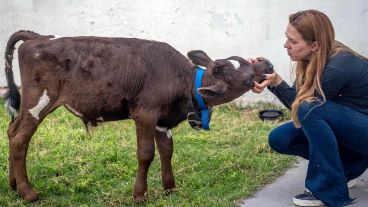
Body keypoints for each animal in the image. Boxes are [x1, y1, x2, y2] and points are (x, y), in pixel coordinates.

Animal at [2, 29, 274, 203]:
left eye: (241, 59)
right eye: (247, 80)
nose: (268, 64)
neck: (183, 81)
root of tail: (38, 37)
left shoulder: (162, 120)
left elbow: (167, 149)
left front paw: (170, 188)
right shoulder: (145, 113)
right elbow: (146, 153)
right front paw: (140, 194)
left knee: (11, 131)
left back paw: (13, 185)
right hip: (38, 101)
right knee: (20, 139)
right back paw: (28, 193)